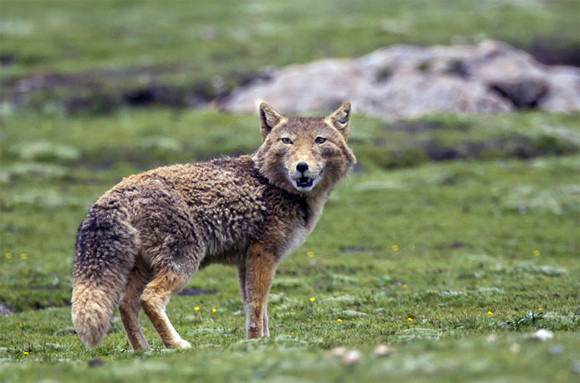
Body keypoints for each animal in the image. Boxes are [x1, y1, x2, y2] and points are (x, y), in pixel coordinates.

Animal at [71, 101, 356, 352]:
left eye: (320, 141)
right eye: (287, 141)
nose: (302, 167)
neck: (274, 184)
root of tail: (119, 190)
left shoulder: (248, 261)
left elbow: (257, 308)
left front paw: (264, 341)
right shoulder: (264, 254)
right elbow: (256, 307)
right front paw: (255, 343)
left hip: (146, 268)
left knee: (125, 304)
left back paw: (143, 351)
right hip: (183, 264)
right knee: (149, 298)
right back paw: (176, 345)